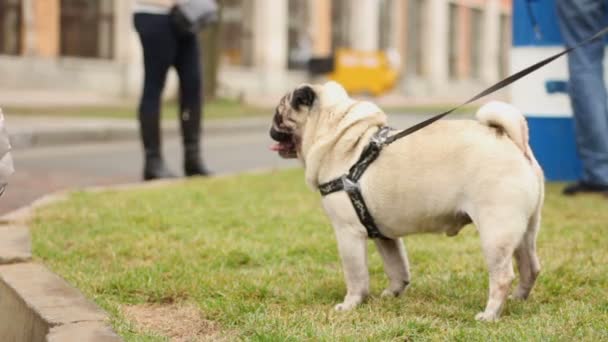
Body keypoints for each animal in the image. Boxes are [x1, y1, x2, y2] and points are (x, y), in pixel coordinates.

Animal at [268, 81, 544, 322]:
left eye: (279, 114)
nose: (271, 128)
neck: (336, 134)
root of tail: (514, 142)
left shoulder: (348, 233)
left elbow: (356, 276)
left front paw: (350, 304)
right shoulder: (384, 235)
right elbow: (397, 267)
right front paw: (393, 294)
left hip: (495, 232)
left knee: (502, 276)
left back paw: (490, 314)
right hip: (524, 230)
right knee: (529, 266)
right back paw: (517, 299)